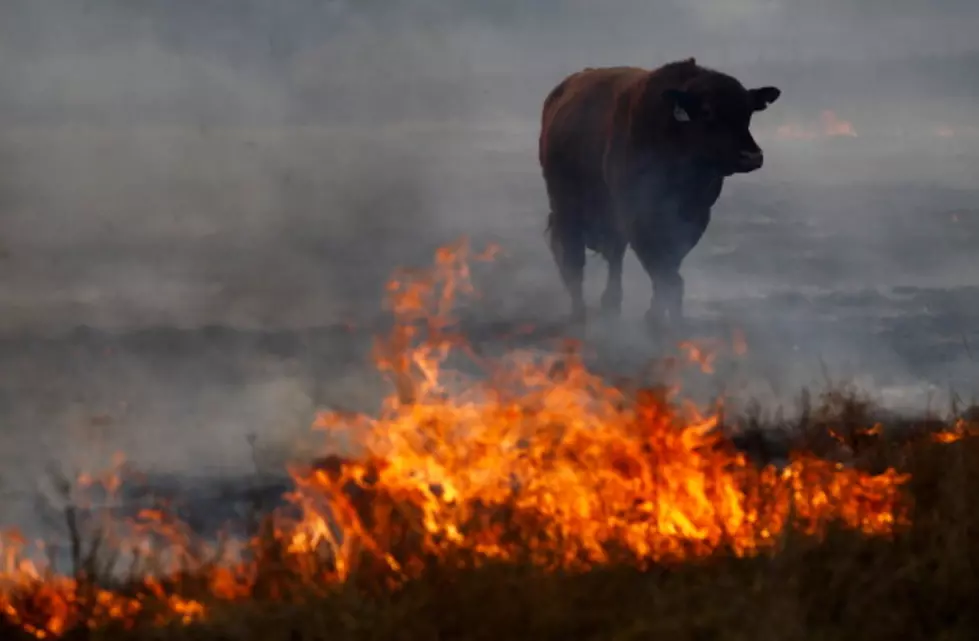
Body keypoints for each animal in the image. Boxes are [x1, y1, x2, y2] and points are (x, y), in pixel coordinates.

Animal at [536, 59, 780, 328]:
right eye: (707, 111)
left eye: (748, 111)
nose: (752, 156)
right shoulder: (638, 215)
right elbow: (664, 271)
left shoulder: (694, 217)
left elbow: (669, 267)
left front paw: (657, 316)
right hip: (566, 208)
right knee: (574, 260)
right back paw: (581, 312)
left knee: (613, 256)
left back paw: (611, 303)